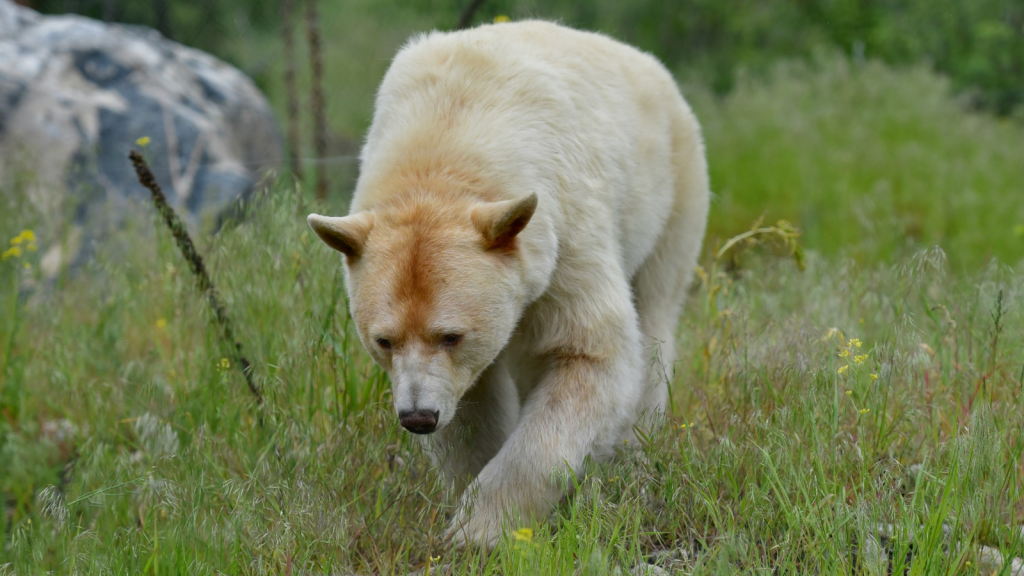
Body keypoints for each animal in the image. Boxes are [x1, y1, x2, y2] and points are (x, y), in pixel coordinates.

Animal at [307, 19, 708, 545]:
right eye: (383, 340)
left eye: (452, 335)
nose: (418, 417)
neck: (449, 129)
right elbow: (472, 407)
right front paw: (469, 500)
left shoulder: (563, 229)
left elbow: (590, 353)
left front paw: (481, 529)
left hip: (669, 193)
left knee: (655, 317)